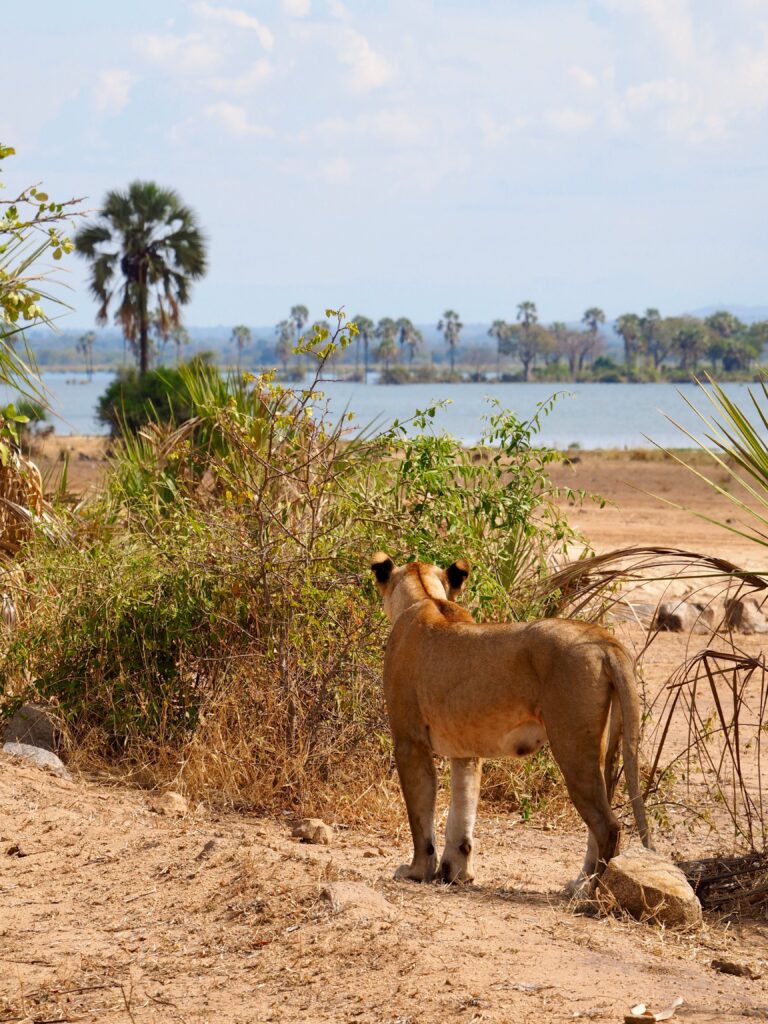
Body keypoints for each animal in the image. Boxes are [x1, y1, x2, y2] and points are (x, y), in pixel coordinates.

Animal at [371, 552, 653, 892]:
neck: (425, 597)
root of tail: (604, 640)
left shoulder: (409, 741)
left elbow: (420, 815)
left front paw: (417, 871)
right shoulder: (465, 749)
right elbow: (462, 812)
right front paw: (457, 873)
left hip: (572, 745)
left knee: (608, 825)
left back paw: (590, 892)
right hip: (602, 748)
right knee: (598, 821)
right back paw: (578, 884)